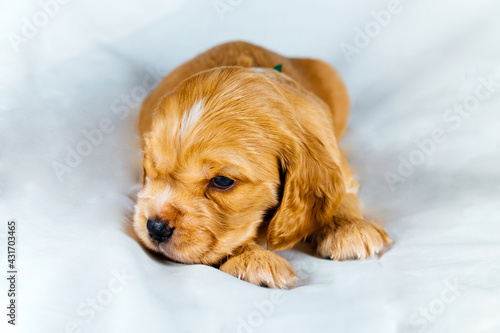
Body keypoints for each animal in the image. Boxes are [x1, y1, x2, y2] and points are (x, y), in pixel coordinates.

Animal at [135, 40, 392, 286]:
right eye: (151, 167)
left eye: (222, 181)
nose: (155, 227)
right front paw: (253, 258)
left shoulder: (334, 154)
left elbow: (343, 191)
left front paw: (350, 227)